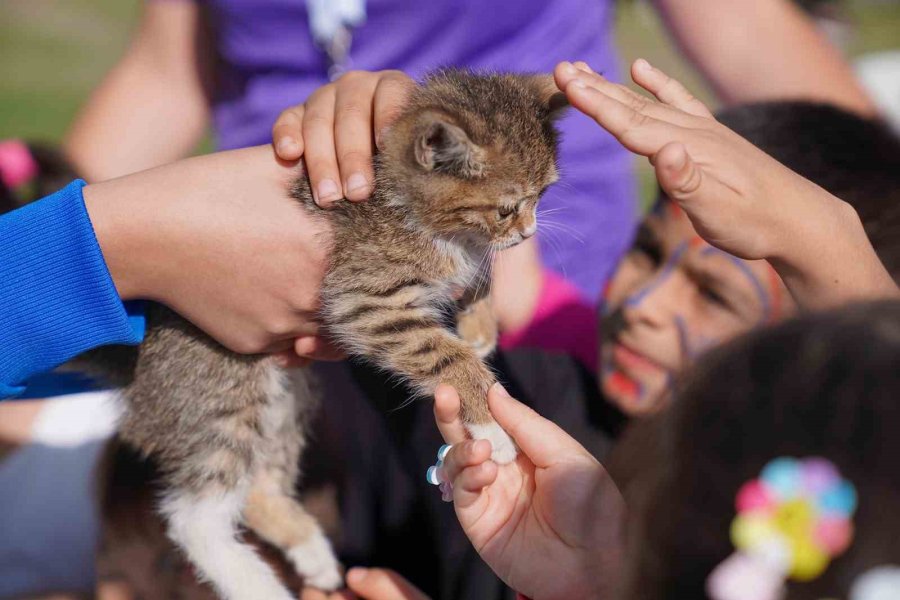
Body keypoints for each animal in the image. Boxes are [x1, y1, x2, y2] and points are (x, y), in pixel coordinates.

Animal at [93, 68, 564, 596]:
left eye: (542, 197)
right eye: (506, 209)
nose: (527, 233)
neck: (402, 203)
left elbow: (480, 266)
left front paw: (479, 321)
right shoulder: (363, 302)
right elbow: (445, 353)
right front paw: (490, 423)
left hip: (285, 397)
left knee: (253, 486)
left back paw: (310, 551)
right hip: (220, 387)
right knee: (193, 514)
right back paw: (256, 584)